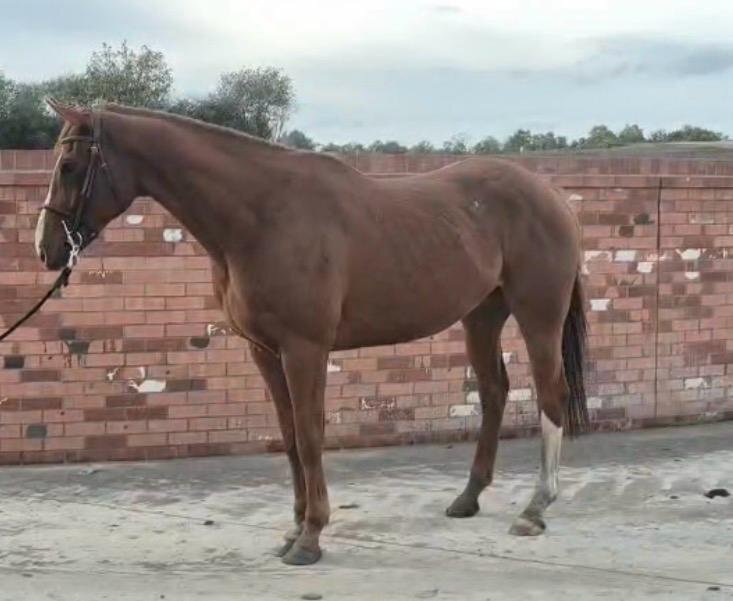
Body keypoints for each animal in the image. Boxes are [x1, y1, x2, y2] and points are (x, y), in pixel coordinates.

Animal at [35, 99, 588, 566]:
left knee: (551, 395)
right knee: (494, 392)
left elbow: (309, 433)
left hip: (538, 314)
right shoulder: (265, 351)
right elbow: (288, 436)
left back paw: (535, 509)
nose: (47, 250)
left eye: (70, 167)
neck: (261, 215)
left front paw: (311, 537)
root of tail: (550, 193)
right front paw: (294, 527)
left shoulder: (305, 349)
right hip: (481, 316)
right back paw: (468, 497)